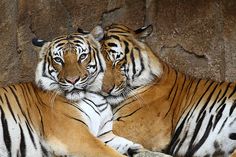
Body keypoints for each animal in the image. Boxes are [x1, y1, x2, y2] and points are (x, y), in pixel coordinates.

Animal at [0, 26, 142, 156]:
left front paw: (136, 149)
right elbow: (111, 153)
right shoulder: (78, 136)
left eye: (82, 56)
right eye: (58, 60)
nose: (72, 80)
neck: (96, 97)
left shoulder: (106, 136)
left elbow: (128, 144)